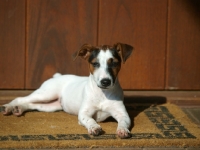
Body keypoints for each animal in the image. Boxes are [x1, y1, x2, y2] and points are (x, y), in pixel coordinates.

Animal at [2, 42, 134, 139]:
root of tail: (58, 76)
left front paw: (122, 130)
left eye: (114, 64)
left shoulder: (122, 114)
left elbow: (123, 122)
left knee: (31, 104)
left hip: (51, 106)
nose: (105, 81)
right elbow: (90, 119)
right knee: (21, 98)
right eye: (95, 64)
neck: (103, 94)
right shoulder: (84, 113)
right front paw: (94, 127)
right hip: (46, 94)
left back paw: (18, 109)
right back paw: (8, 107)